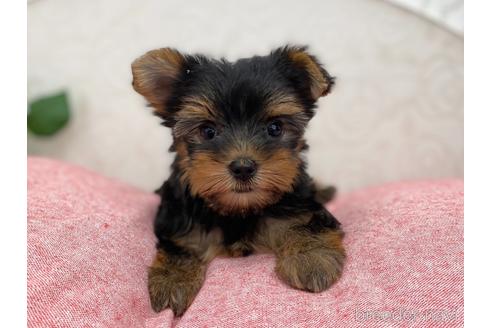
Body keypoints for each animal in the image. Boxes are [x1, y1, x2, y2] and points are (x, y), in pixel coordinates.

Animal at [131, 45, 346, 316]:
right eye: (208, 131)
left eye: (275, 128)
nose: (243, 167)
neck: (239, 209)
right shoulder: (178, 218)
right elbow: (181, 244)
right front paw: (173, 280)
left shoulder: (299, 203)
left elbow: (306, 221)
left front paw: (311, 258)